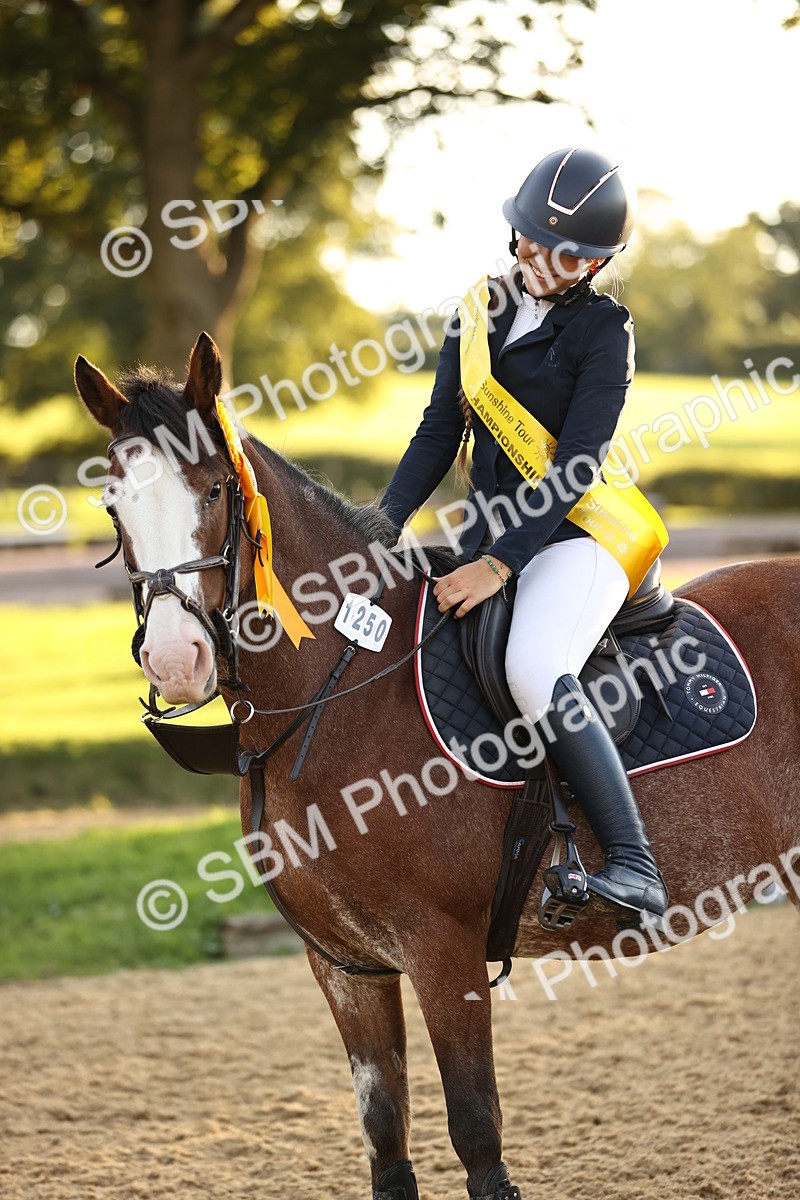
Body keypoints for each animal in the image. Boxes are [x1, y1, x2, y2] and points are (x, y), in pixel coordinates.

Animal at [75, 332, 800, 1200]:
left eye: (215, 490)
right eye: (114, 506)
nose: (175, 660)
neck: (343, 687)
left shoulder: (442, 951)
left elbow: (477, 1131)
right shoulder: (345, 964)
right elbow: (386, 1133)